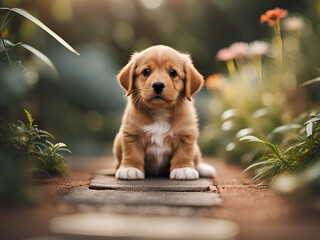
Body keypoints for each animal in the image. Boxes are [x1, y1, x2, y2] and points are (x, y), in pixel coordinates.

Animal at [114, 45, 216, 180]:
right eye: (146, 71)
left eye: (173, 73)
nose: (158, 85)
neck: (160, 111)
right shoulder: (131, 134)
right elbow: (132, 152)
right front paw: (130, 168)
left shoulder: (186, 135)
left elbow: (184, 153)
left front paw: (183, 169)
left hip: (196, 147)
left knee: (197, 159)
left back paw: (204, 168)